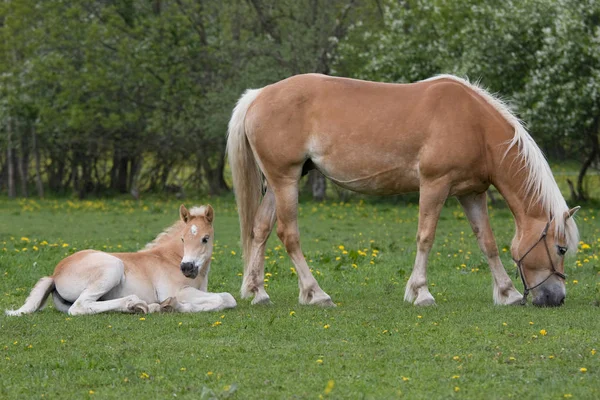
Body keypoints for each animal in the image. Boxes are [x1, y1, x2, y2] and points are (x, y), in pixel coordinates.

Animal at [7, 206, 237, 316]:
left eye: (205, 239)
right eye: (182, 239)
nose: (187, 268)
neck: (171, 259)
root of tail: (54, 275)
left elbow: (225, 298)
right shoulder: (178, 291)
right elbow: (224, 299)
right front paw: (174, 306)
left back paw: (140, 307)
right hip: (113, 267)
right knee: (80, 307)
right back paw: (136, 303)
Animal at [227, 73, 580, 308]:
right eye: (561, 248)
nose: (557, 298)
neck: (475, 125)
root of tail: (257, 96)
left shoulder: (471, 193)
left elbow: (488, 243)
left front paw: (507, 293)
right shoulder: (435, 184)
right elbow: (426, 237)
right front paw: (421, 292)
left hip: (280, 183)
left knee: (260, 229)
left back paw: (258, 292)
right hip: (285, 181)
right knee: (289, 235)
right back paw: (315, 294)